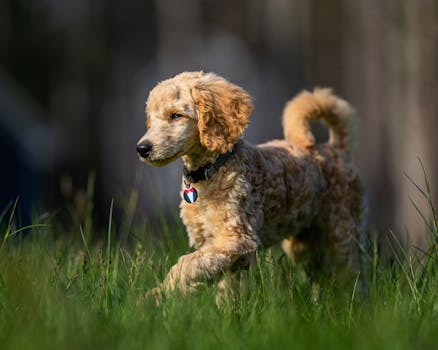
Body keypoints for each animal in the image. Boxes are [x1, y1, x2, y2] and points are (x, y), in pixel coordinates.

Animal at [138, 71, 370, 300]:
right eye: (151, 118)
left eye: (176, 115)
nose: (142, 148)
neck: (212, 170)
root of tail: (336, 148)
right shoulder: (219, 247)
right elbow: (220, 283)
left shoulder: (237, 238)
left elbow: (187, 264)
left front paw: (157, 295)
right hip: (304, 243)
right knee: (321, 276)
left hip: (342, 231)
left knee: (353, 275)